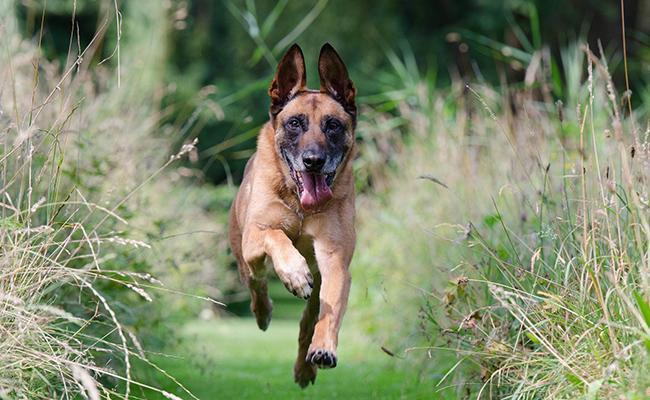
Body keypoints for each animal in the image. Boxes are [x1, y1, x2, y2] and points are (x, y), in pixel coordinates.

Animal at [228, 44, 356, 388]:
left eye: (332, 125)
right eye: (295, 123)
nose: (313, 161)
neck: (300, 204)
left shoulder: (334, 260)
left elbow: (329, 314)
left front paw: (324, 349)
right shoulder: (257, 235)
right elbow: (276, 235)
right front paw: (295, 273)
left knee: (308, 321)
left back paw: (305, 367)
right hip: (244, 255)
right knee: (257, 284)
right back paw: (264, 311)